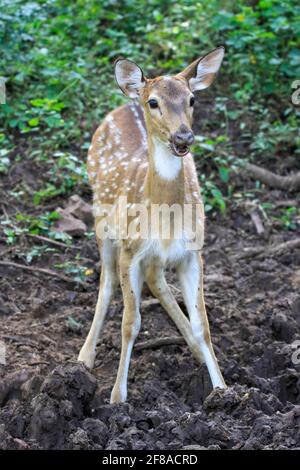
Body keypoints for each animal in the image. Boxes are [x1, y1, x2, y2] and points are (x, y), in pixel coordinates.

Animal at [78, 46, 226, 404]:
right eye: (154, 102)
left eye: (192, 99)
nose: (183, 137)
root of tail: (126, 101)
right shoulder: (131, 250)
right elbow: (130, 323)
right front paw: (117, 398)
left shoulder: (193, 251)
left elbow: (204, 324)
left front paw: (223, 391)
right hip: (102, 222)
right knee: (106, 283)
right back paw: (85, 355)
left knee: (156, 278)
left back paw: (194, 350)